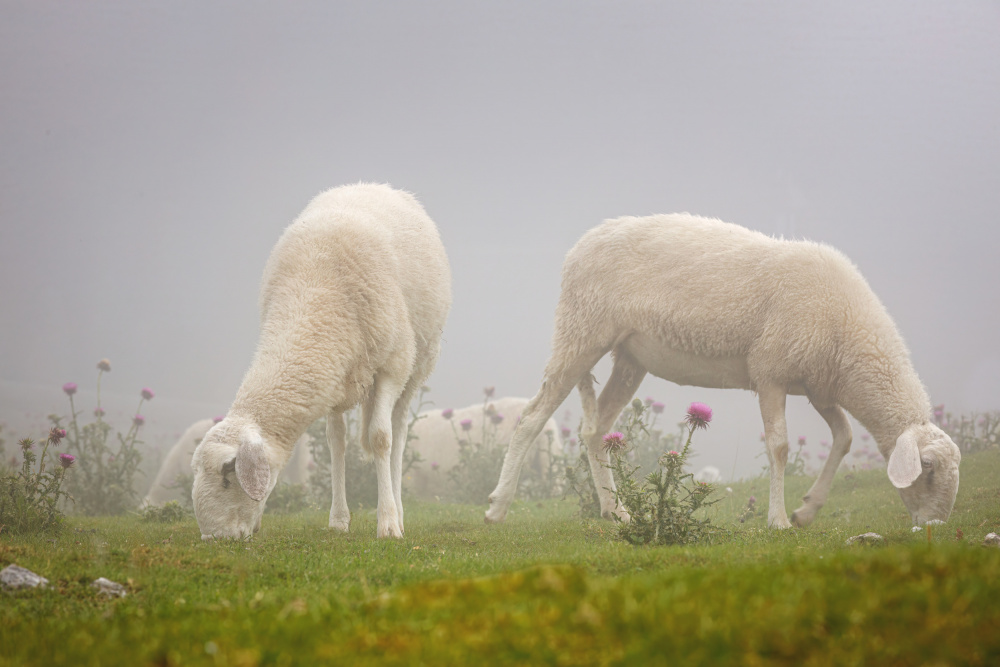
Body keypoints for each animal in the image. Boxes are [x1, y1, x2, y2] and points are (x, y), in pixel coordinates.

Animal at [188, 181, 454, 536]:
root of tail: (371, 184)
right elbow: (335, 444)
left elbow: (381, 438)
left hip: (418, 361)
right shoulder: (331, 370)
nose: (213, 537)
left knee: (398, 433)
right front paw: (338, 520)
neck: (313, 294)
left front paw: (387, 524)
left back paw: (397, 511)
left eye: (227, 477)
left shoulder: (393, 365)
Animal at [484, 213, 960, 528]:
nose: (936, 527)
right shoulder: (771, 371)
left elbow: (842, 438)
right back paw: (497, 507)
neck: (852, 343)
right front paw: (778, 520)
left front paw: (806, 509)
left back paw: (614, 510)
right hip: (581, 330)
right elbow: (780, 447)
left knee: (595, 428)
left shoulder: (816, 384)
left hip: (629, 356)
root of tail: (585, 238)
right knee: (532, 418)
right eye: (928, 469)